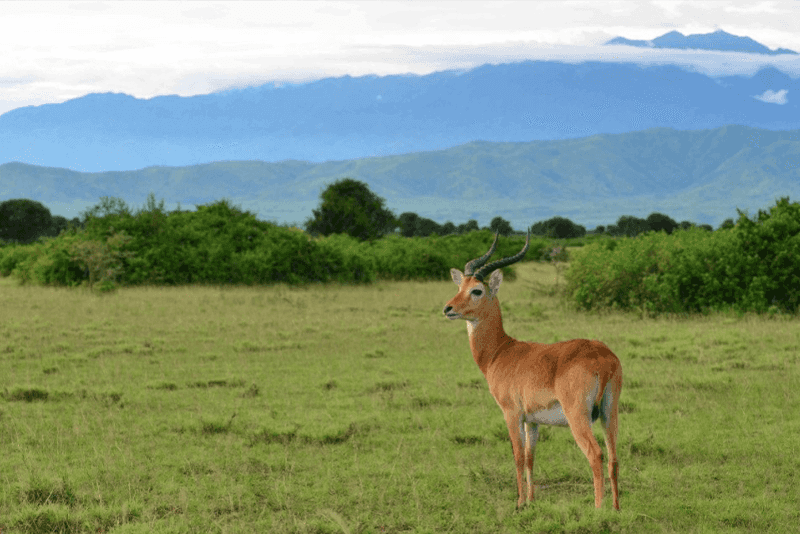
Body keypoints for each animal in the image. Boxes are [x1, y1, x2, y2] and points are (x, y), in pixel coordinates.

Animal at [444, 233, 624, 510]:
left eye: (477, 290)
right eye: (459, 287)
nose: (448, 309)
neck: (500, 352)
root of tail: (601, 356)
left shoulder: (512, 414)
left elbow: (518, 456)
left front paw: (519, 503)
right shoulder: (533, 421)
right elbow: (530, 457)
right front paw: (530, 500)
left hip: (578, 417)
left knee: (596, 455)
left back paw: (598, 510)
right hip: (609, 412)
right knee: (614, 457)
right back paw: (616, 509)